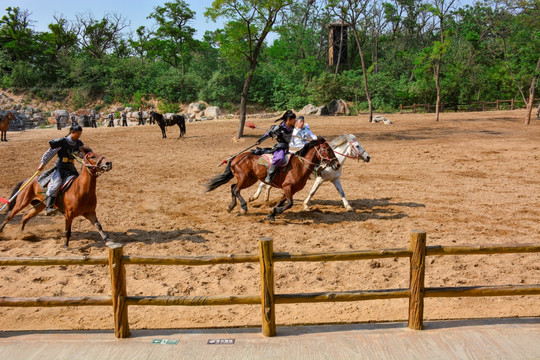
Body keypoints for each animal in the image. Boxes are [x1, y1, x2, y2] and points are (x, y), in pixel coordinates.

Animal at [206, 138, 338, 221]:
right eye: (327, 149)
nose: (337, 164)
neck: (300, 165)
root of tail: (237, 157)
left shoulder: (291, 189)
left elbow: (282, 202)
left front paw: (272, 213)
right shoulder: (288, 187)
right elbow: (289, 203)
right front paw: (273, 211)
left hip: (250, 179)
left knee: (233, 187)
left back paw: (231, 206)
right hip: (245, 179)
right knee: (236, 190)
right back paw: (243, 207)